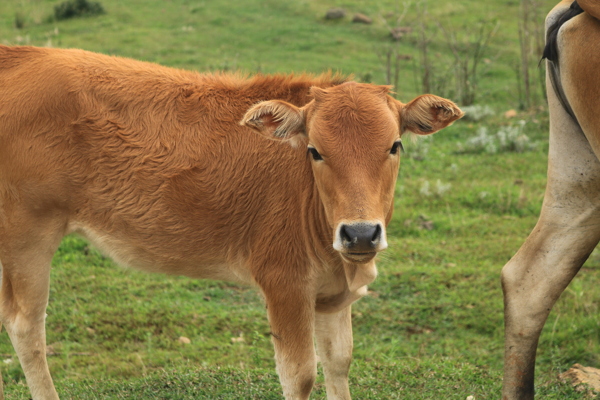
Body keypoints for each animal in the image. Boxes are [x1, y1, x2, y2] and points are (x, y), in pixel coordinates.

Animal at [0, 45, 462, 398]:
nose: (360, 233)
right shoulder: (284, 282)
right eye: (315, 150)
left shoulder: (332, 296)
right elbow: (299, 376)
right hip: (27, 235)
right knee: (27, 327)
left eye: (395, 145)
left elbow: (339, 363)